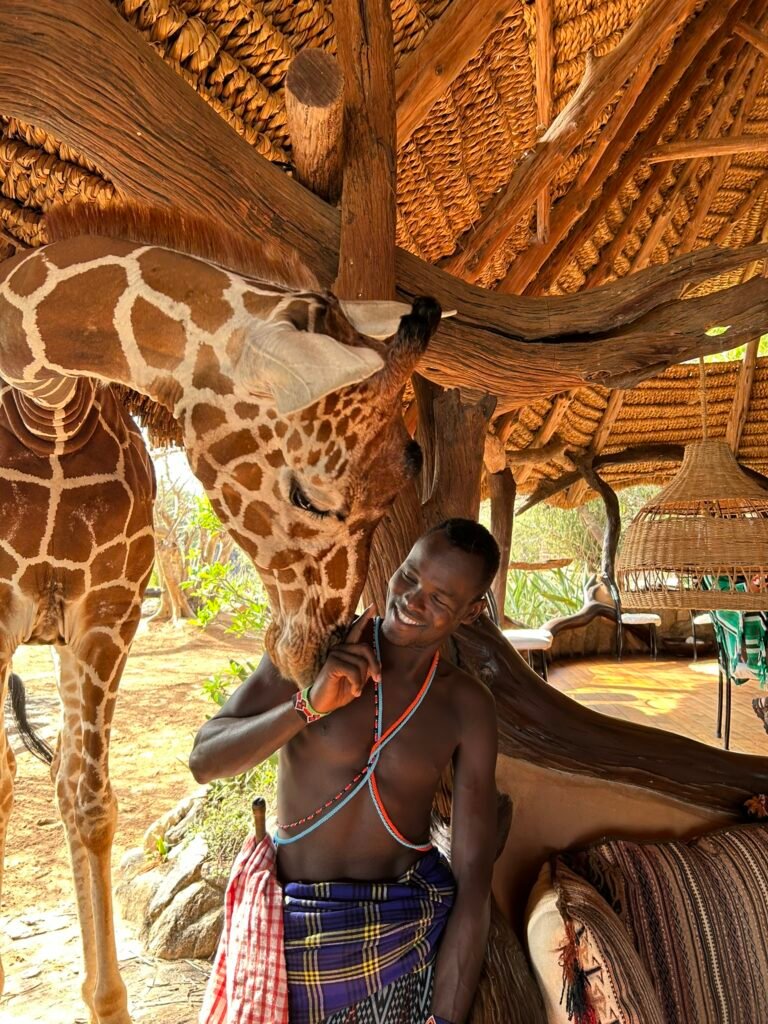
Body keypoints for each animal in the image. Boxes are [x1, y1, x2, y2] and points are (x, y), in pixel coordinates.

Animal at [0, 202, 440, 1024]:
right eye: (310, 495)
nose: (316, 650)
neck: (43, 400)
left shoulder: (108, 602)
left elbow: (87, 795)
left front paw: (108, 1003)